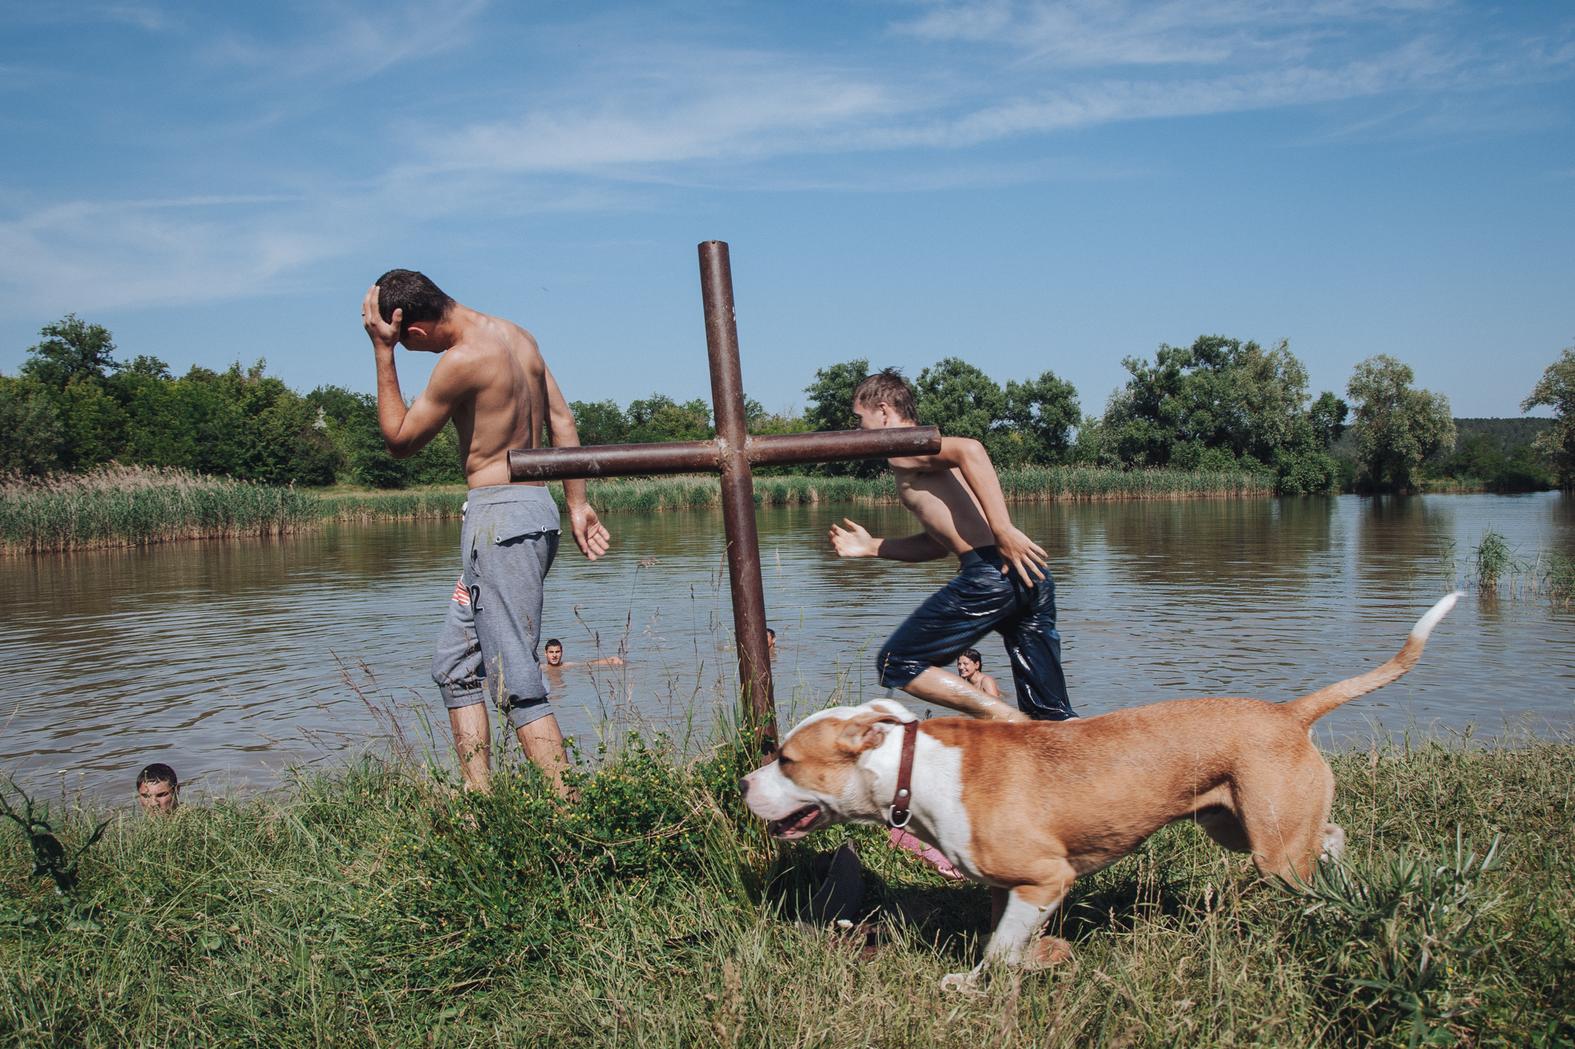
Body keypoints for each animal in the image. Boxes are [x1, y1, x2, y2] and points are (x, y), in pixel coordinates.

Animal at [743, 592, 1455, 982]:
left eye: (787, 760)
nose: (747, 780)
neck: (910, 770)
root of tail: (1290, 713)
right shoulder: (1010, 887)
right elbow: (1003, 940)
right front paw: (1028, 962)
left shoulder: (1044, 879)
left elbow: (1001, 954)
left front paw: (995, 978)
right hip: (1237, 822)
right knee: (1330, 833)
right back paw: (1339, 876)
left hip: (1270, 846)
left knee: (1305, 861)